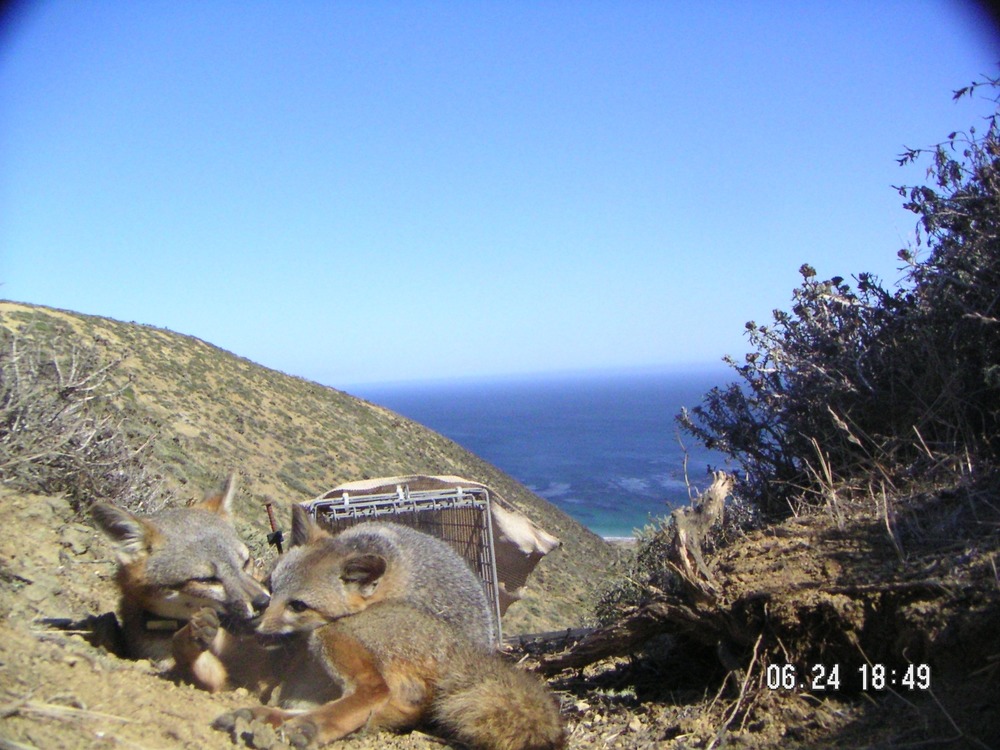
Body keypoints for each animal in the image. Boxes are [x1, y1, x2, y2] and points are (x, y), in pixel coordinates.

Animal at [215, 506, 565, 750]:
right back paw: (266, 716)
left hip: (334, 635)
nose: (253, 620)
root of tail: (464, 653)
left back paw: (307, 726)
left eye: (298, 605)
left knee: (373, 692)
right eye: (270, 586)